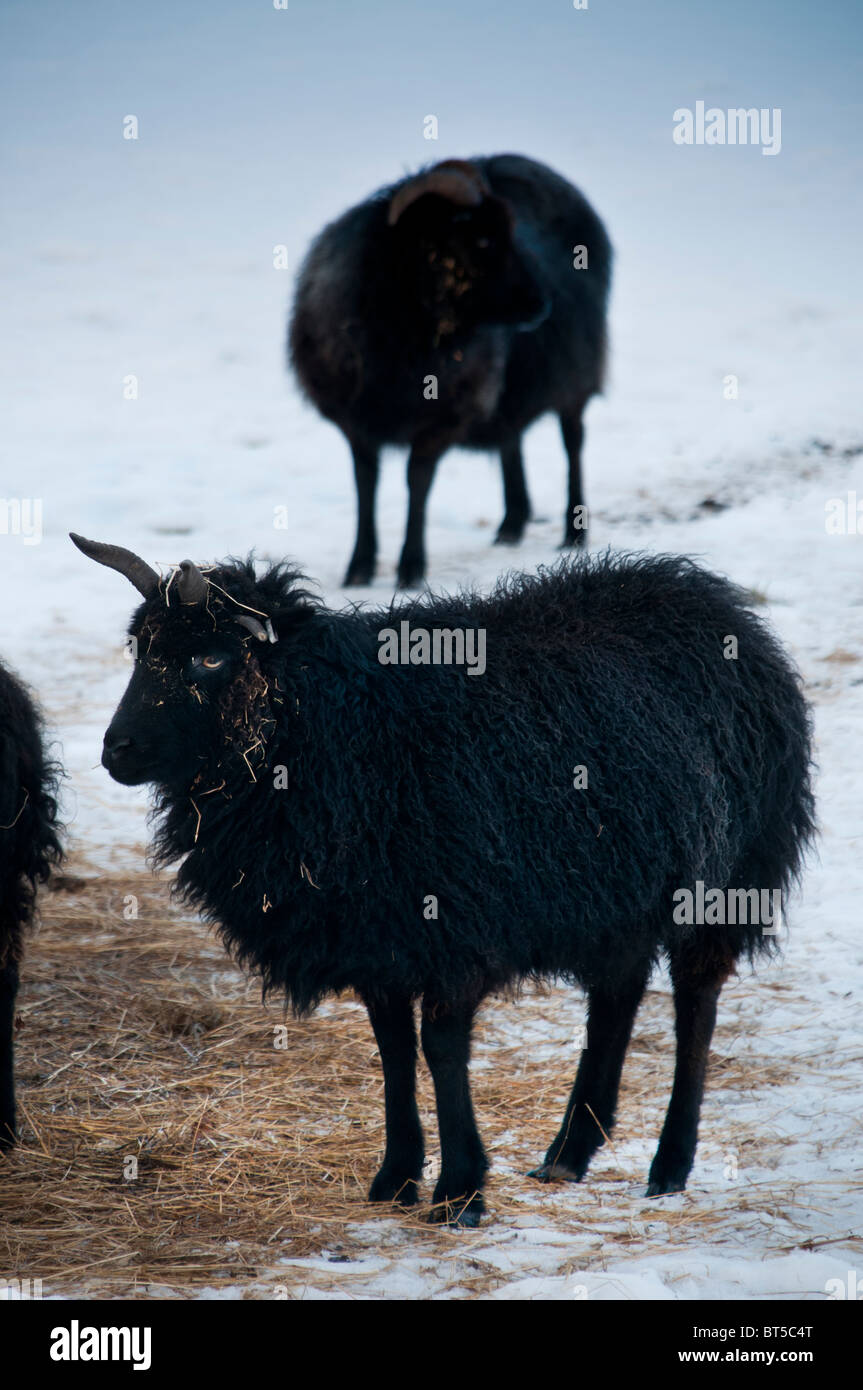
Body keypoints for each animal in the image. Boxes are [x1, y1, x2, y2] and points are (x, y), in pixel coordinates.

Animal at [69, 533, 817, 1228]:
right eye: (140, 651)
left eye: (210, 658)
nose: (117, 751)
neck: (330, 727)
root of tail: (715, 601)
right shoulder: (374, 934)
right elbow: (394, 1050)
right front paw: (396, 1178)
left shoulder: (452, 923)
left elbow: (442, 1049)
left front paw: (460, 1190)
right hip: (616, 888)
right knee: (618, 993)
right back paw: (569, 1151)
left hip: (726, 876)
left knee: (696, 1002)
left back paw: (670, 1163)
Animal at [289, 152, 611, 586]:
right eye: (482, 240)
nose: (542, 304)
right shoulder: (356, 421)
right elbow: (365, 484)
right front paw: (359, 567)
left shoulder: (444, 416)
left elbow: (417, 479)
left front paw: (410, 568)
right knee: (511, 437)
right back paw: (512, 524)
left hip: (575, 372)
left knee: (572, 442)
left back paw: (573, 533)